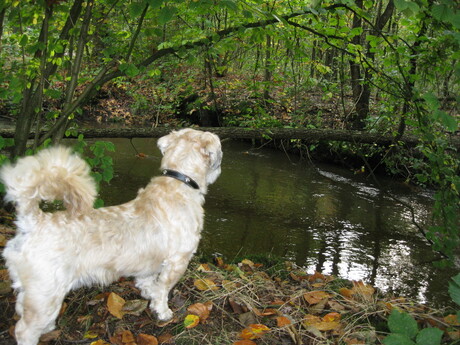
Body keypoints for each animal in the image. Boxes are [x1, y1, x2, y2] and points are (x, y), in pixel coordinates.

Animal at [0, 127, 223, 344]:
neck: (178, 182)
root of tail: (33, 220)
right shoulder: (178, 261)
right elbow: (163, 290)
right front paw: (163, 311)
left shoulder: (149, 262)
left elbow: (149, 282)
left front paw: (149, 293)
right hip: (45, 293)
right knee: (23, 330)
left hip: (31, 290)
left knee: (21, 309)